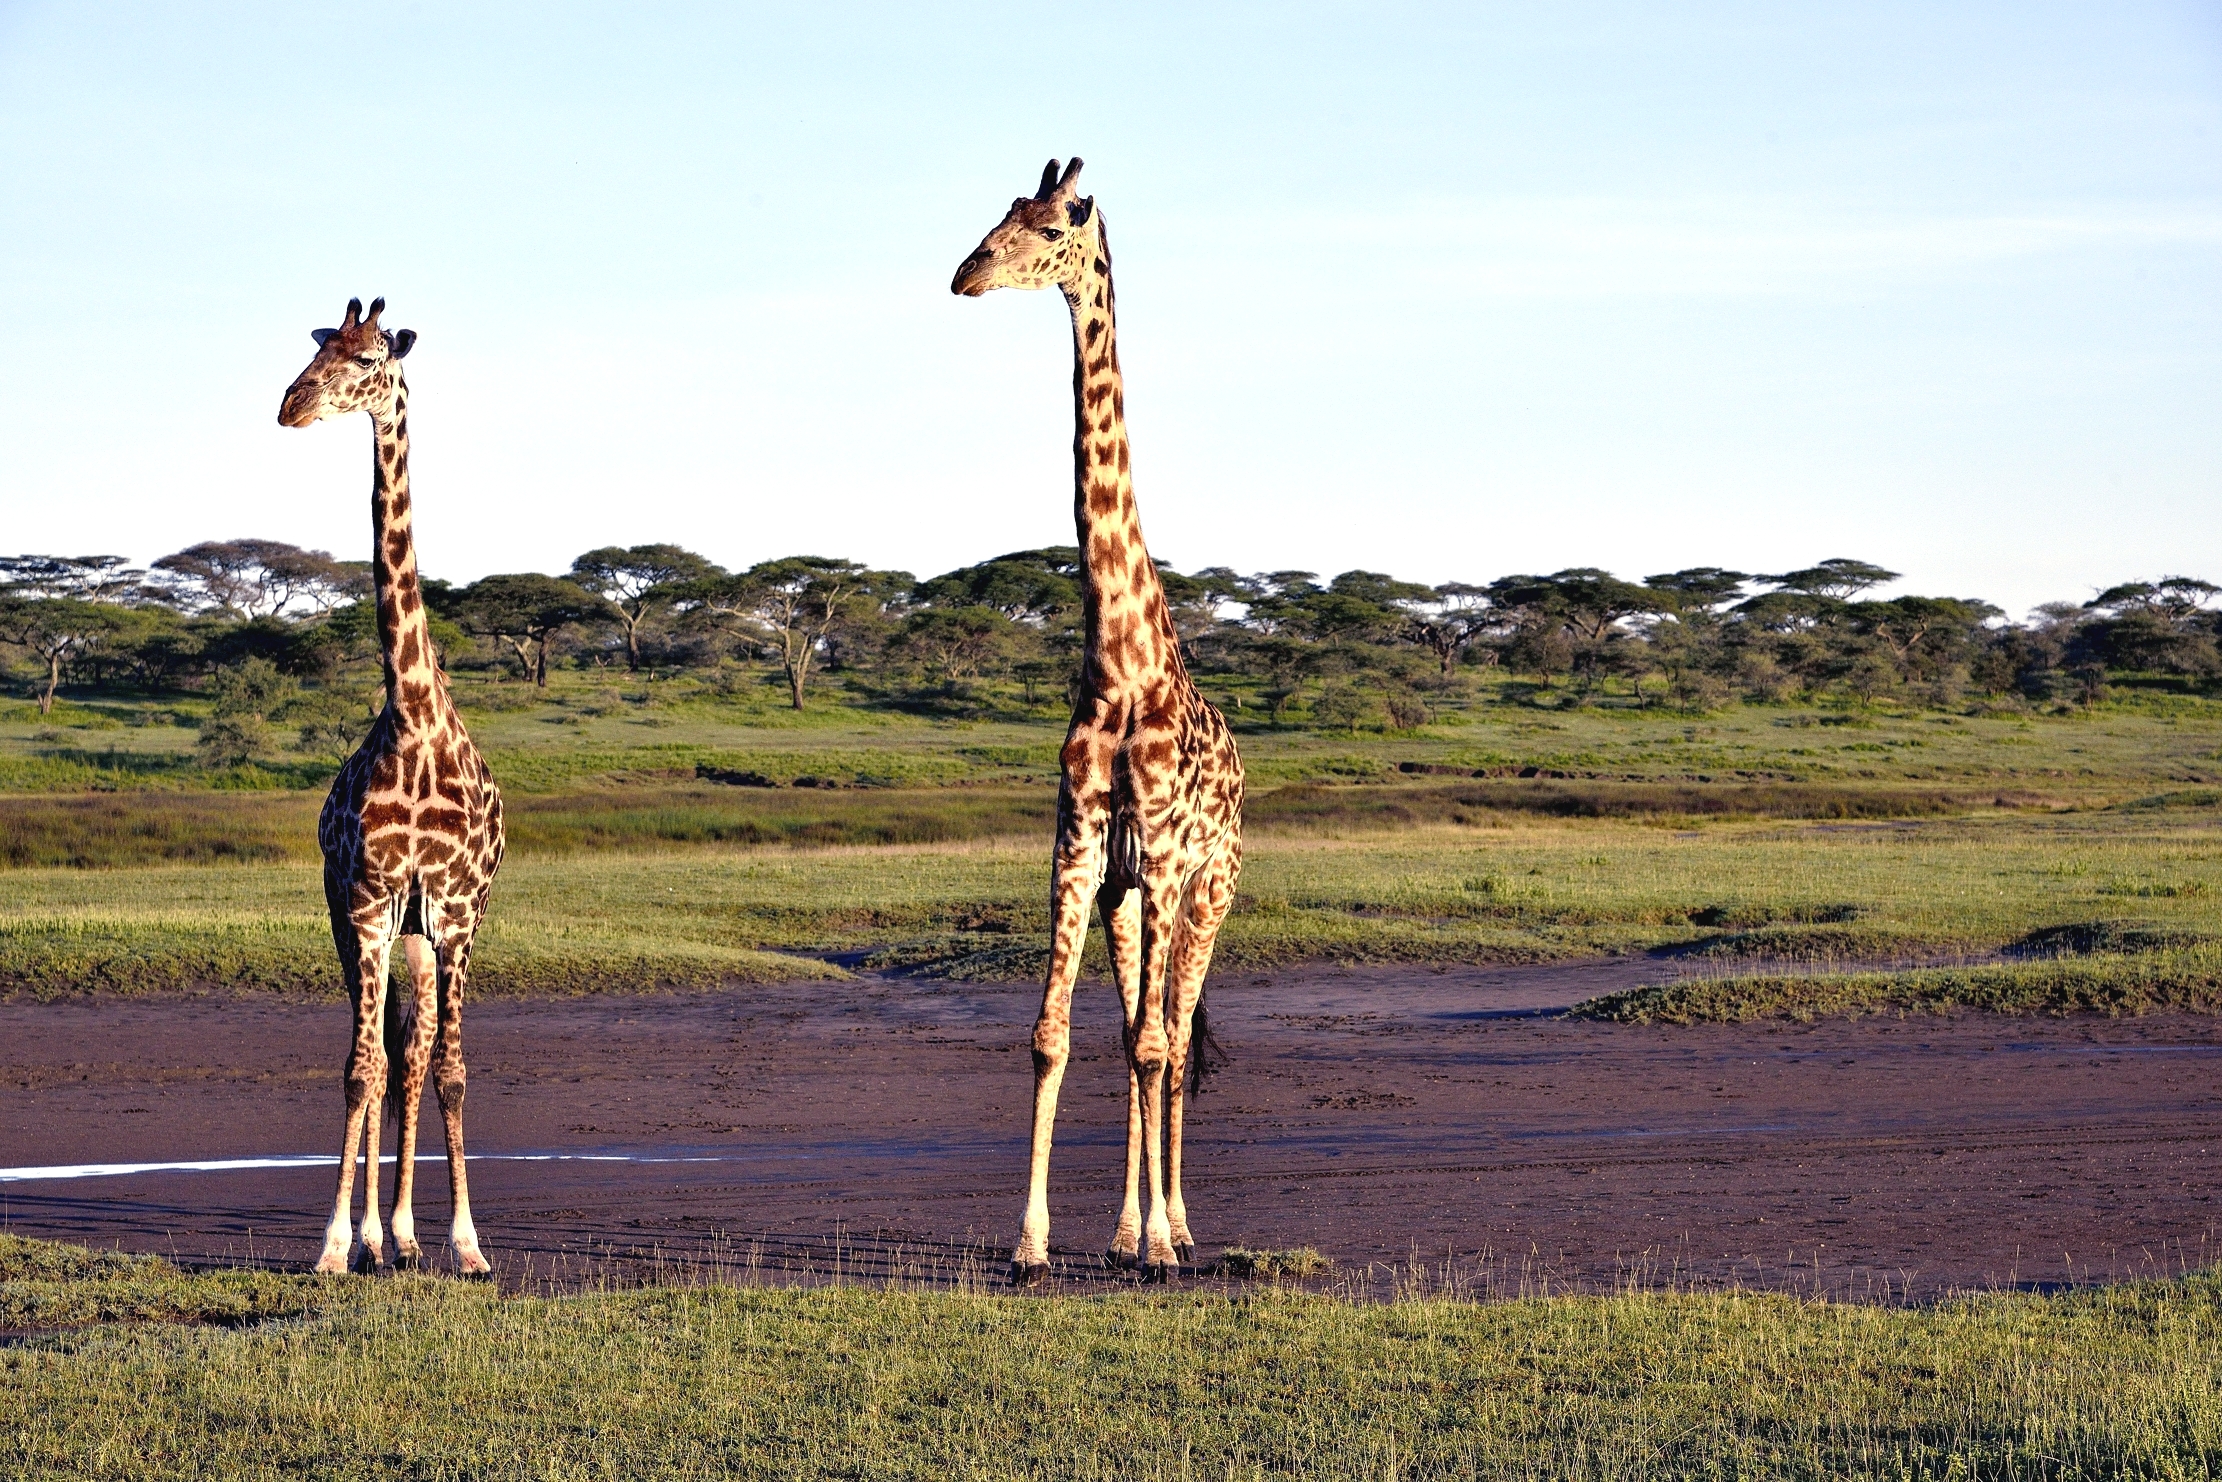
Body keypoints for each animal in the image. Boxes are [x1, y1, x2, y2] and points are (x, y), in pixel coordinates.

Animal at [954, 159, 1245, 1284]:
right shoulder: (1080, 848)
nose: (964, 274)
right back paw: (1126, 1231)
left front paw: (1162, 1243)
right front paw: (1033, 1242)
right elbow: (1056, 1038)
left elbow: (1160, 1047)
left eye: (1050, 227)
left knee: (1171, 1035)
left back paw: (1178, 1229)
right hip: (1129, 901)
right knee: (1133, 1036)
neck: (1118, 658)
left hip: (1207, 894)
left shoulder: (1162, 855)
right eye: (998, 218)